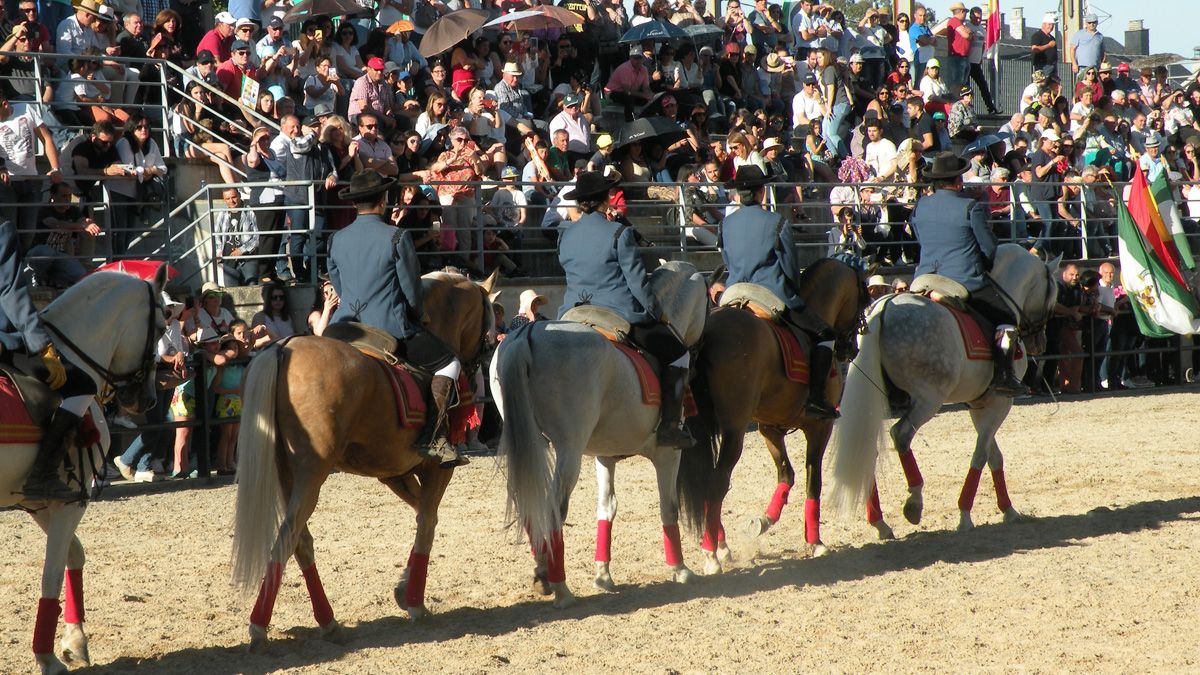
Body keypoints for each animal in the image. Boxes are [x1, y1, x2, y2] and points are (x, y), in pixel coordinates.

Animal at [0, 267, 166, 672]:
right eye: (161, 327)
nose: (148, 399)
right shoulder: (71, 501)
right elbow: (51, 573)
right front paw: (46, 656)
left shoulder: (39, 502)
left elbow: (74, 556)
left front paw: (74, 639)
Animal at [229, 267, 496, 648]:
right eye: (488, 314)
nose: (484, 358)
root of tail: (283, 347)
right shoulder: (436, 468)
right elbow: (428, 521)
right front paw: (415, 602)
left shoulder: (395, 472)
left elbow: (423, 514)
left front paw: (404, 589)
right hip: (311, 474)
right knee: (287, 537)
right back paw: (259, 626)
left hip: (285, 475)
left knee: (301, 542)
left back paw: (327, 621)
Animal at [489, 260, 705, 607]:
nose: (697, 354)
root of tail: (527, 333)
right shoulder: (668, 454)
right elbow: (668, 506)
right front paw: (681, 569)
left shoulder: (605, 456)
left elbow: (607, 507)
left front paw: (603, 575)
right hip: (569, 449)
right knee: (553, 507)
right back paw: (559, 586)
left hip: (528, 444)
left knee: (529, 502)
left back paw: (542, 573)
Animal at [676, 254, 873, 569]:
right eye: (864, 296)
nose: (850, 348)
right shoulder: (820, 428)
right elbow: (812, 479)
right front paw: (816, 541)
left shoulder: (770, 428)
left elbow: (786, 476)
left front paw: (764, 520)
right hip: (734, 431)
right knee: (717, 482)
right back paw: (712, 553)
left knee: (708, 482)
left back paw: (720, 545)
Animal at [825, 246, 1060, 535]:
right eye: (1052, 296)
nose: (1041, 342)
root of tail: (885, 305)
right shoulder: (999, 403)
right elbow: (981, 455)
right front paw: (965, 514)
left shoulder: (978, 405)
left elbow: (994, 456)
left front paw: (1008, 509)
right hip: (928, 400)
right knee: (901, 434)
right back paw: (914, 501)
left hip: (876, 403)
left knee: (868, 448)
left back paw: (880, 522)